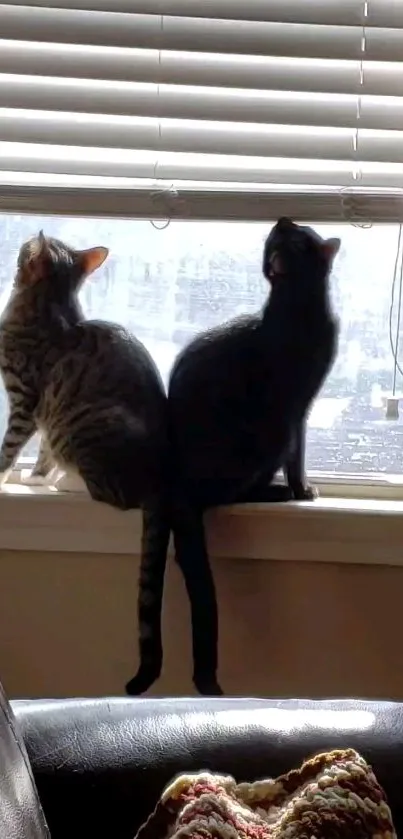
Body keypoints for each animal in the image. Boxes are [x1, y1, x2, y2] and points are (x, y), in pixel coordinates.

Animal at [0, 231, 171, 696]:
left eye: (26, 246)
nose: (28, 237)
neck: (50, 304)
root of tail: (159, 476)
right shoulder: (46, 415)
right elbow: (41, 451)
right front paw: (35, 478)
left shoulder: (27, 400)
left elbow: (11, 445)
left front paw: (9, 473)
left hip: (88, 425)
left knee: (109, 493)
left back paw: (69, 482)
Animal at [126, 217, 340, 696]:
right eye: (297, 234)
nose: (283, 218)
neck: (295, 305)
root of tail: (175, 478)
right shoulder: (296, 409)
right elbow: (299, 455)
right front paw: (303, 488)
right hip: (265, 435)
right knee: (232, 493)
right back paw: (278, 492)